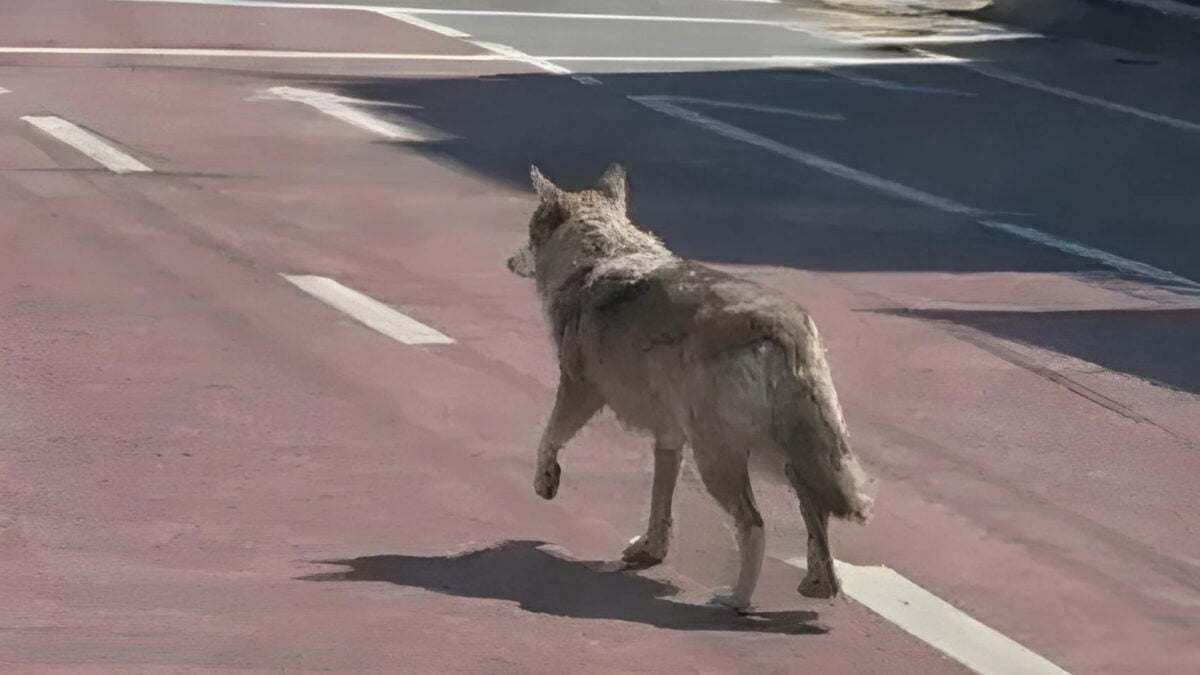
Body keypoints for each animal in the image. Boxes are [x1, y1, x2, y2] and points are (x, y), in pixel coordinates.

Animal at [506, 163, 875, 610]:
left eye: (529, 235)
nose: (508, 261)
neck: (602, 253)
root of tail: (785, 324)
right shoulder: (668, 438)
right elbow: (659, 505)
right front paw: (649, 551)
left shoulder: (579, 390)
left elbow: (548, 438)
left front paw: (545, 482)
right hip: (787, 457)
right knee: (816, 515)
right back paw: (818, 587)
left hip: (720, 459)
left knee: (754, 525)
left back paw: (735, 601)